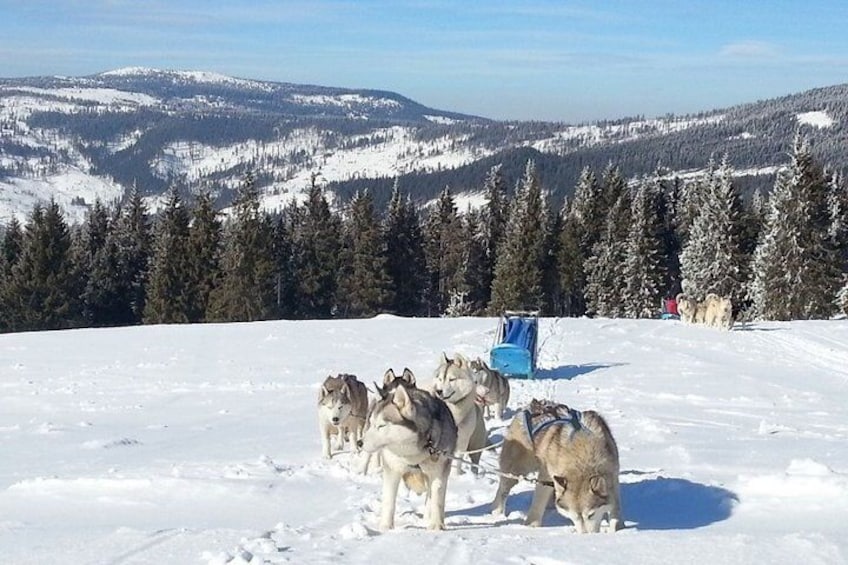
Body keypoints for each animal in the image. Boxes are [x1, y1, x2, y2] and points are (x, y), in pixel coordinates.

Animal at [358, 374, 458, 528]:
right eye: (372, 423)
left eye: (382, 425)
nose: (359, 443)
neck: (412, 455)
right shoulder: (392, 469)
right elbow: (388, 501)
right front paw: (385, 527)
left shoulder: (438, 472)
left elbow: (436, 500)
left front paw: (436, 526)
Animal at [490, 396, 624, 532]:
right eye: (575, 516)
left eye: (591, 514)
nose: (586, 535)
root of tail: (535, 405)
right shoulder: (546, 475)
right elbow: (538, 501)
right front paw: (531, 526)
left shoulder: (613, 476)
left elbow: (615, 506)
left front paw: (617, 528)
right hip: (516, 469)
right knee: (503, 489)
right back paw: (497, 512)